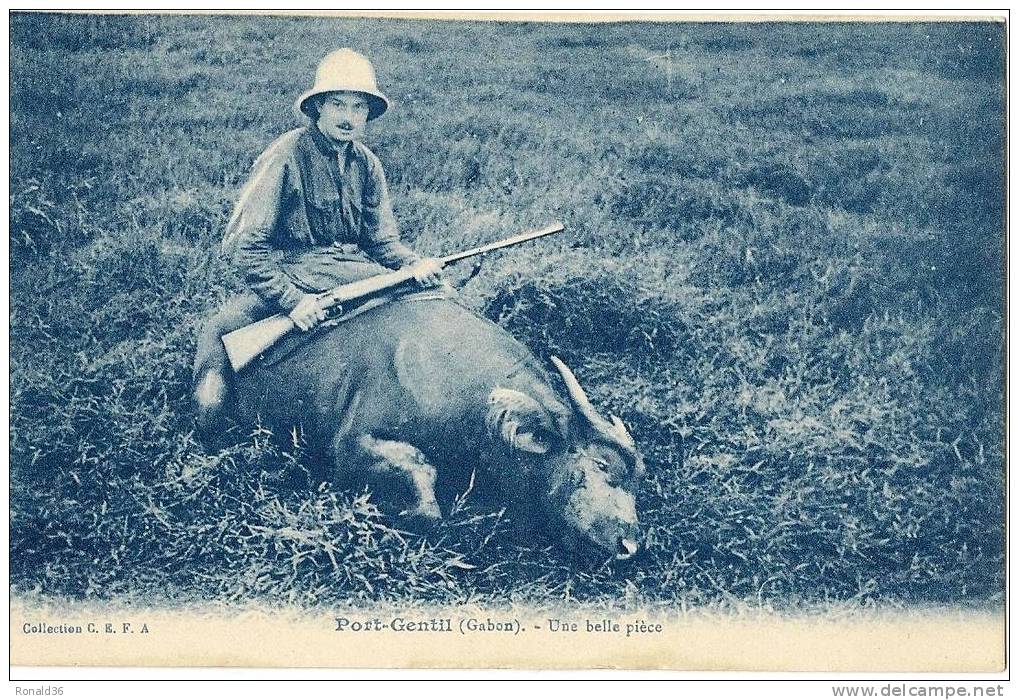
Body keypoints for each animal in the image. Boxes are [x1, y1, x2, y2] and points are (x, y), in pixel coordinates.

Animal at [196, 293, 644, 562]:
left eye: (635, 482)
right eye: (601, 466)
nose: (629, 544)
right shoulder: (351, 446)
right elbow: (427, 498)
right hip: (210, 399)